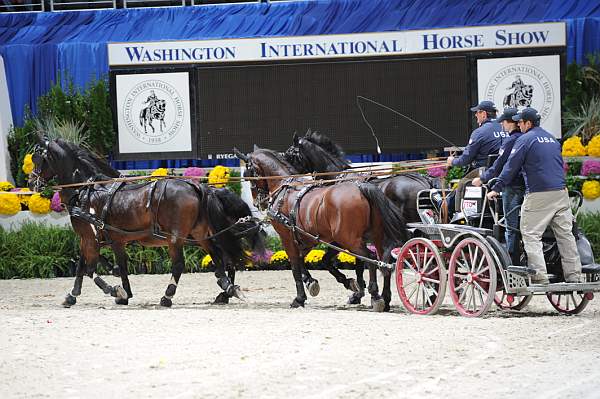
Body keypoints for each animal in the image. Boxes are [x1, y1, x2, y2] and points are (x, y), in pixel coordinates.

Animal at [28, 139, 262, 308]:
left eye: (37, 159)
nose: (31, 183)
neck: (86, 190)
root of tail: (198, 187)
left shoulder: (89, 237)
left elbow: (88, 269)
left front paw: (113, 291)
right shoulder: (111, 241)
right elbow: (98, 267)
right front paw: (80, 295)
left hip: (175, 238)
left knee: (181, 265)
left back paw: (168, 297)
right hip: (200, 233)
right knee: (219, 259)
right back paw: (228, 289)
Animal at [234, 147, 408, 312]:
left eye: (248, 174)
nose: (258, 203)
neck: (285, 189)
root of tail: (361, 187)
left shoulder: (287, 237)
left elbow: (295, 266)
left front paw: (299, 298)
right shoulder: (307, 238)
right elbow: (309, 261)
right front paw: (314, 282)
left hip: (350, 240)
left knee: (371, 259)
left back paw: (376, 296)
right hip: (376, 236)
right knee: (385, 263)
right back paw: (385, 299)